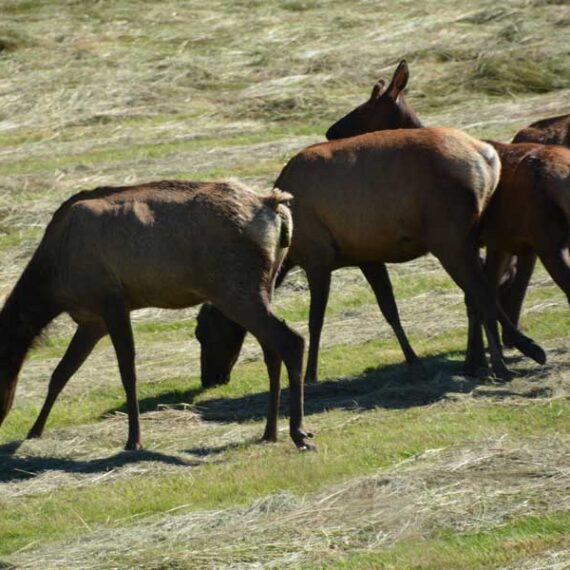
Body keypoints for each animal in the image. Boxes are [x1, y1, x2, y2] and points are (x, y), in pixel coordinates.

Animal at [0, 180, 316, 450]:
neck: (55, 284)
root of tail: (274, 206)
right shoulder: (92, 321)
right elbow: (61, 373)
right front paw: (34, 430)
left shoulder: (111, 300)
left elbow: (127, 371)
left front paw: (134, 440)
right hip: (262, 285)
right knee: (271, 350)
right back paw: (269, 432)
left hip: (235, 288)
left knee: (290, 340)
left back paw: (299, 433)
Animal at [196, 125, 544, 390]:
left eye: (204, 332)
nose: (210, 379)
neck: (288, 248)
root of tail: (487, 157)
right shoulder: (366, 256)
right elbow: (389, 309)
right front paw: (412, 358)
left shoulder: (317, 256)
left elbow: (316, 320)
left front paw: (311, 374)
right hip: (470, 235)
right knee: (480, 292)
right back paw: (506, 355)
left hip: (450, 236)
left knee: (480, 293)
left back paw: (499, 365)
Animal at [322, 58, 564, 368]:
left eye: (366, 108)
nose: (330, 132)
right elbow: (476, 295)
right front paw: (479, 357)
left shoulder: (470, 239)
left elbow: (477, 294)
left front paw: (484, 357)